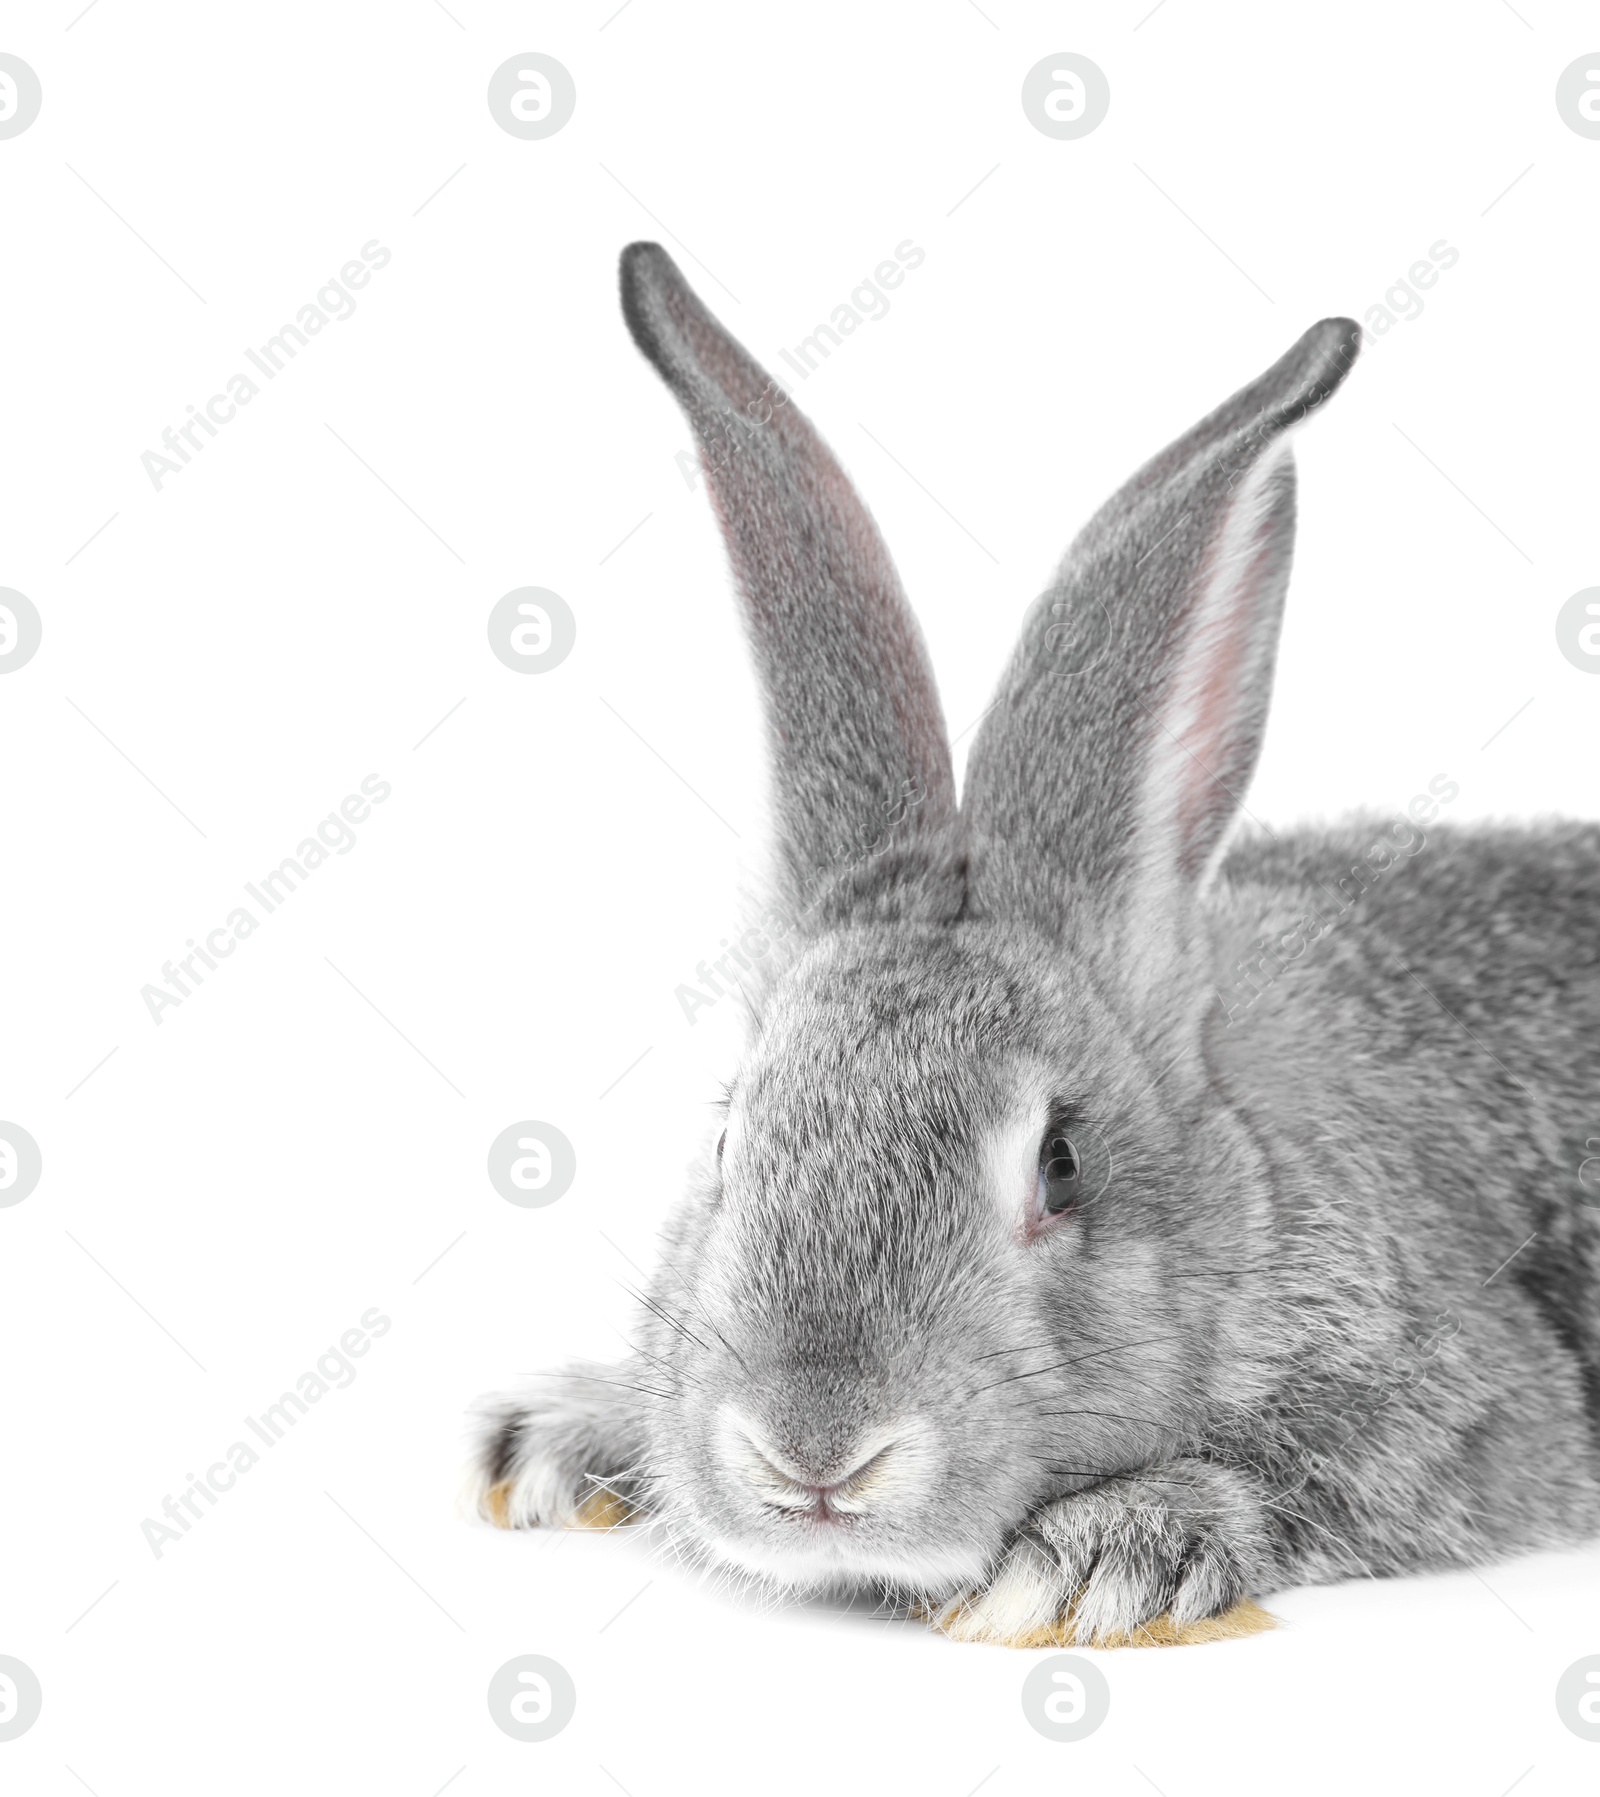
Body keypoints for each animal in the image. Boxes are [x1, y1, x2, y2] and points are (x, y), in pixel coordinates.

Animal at [471, 246, 1596, 1646]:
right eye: (729, 1143)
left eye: (1061, 1165)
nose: (814, 1453)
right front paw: (564, 1438)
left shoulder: (1468, 1407)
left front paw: (1092, 1557)